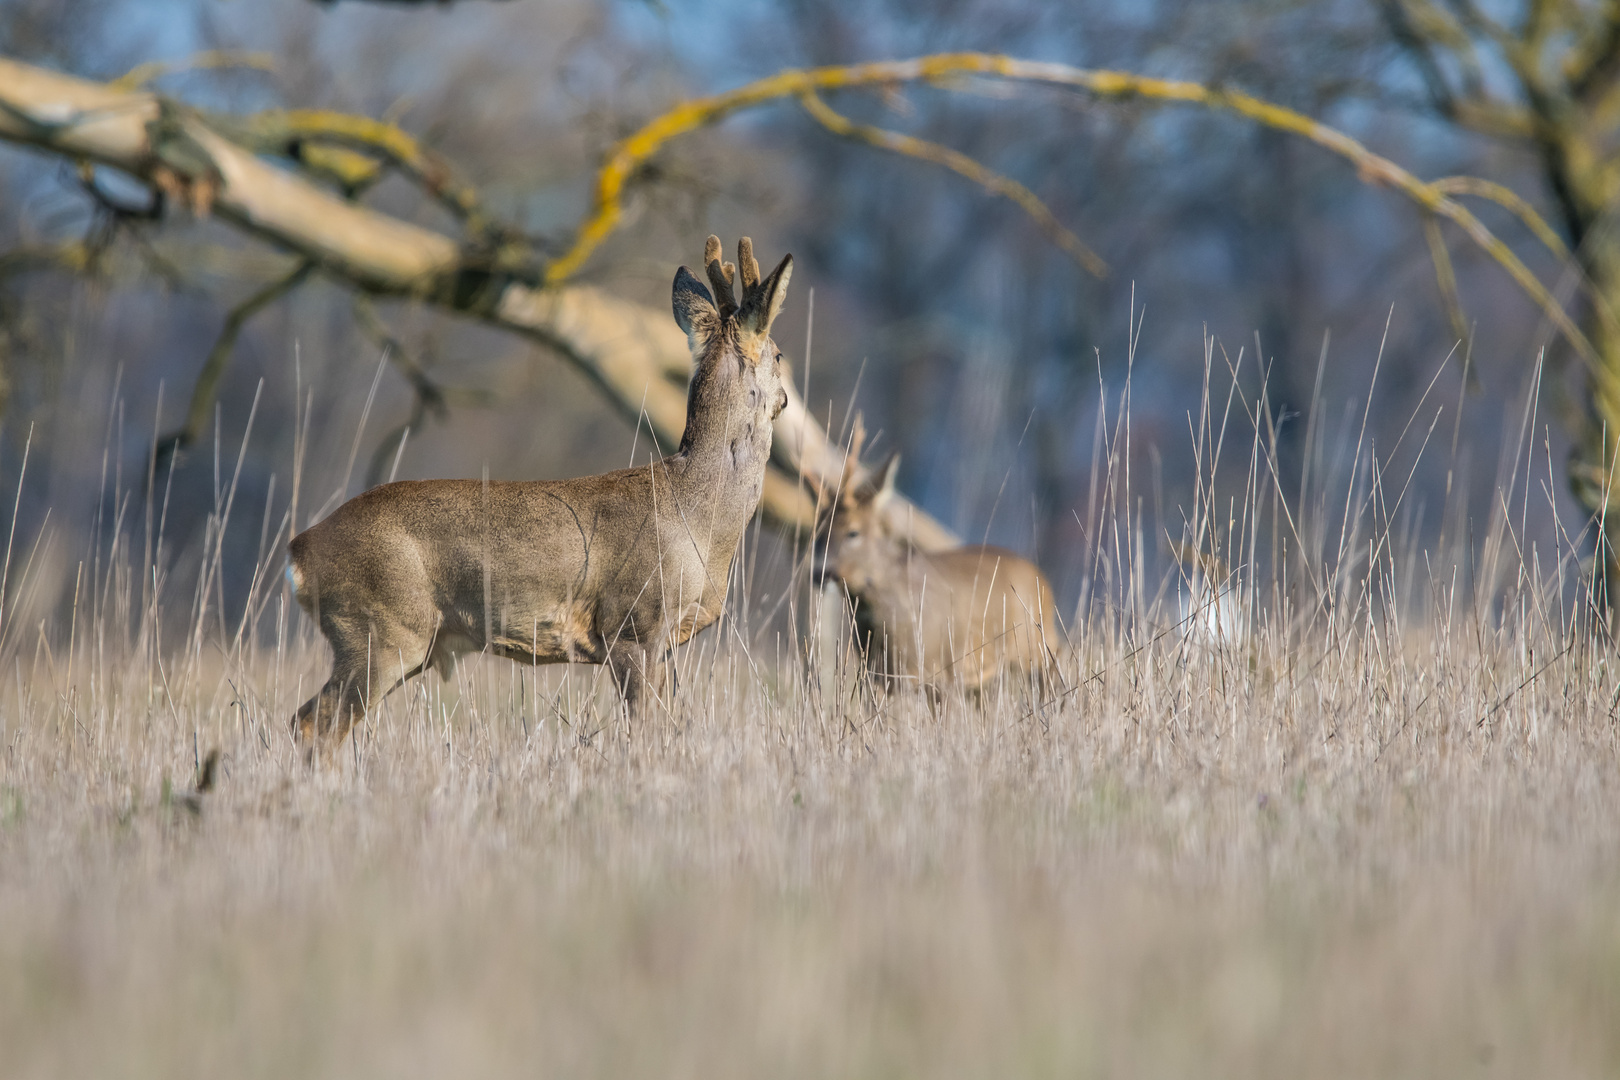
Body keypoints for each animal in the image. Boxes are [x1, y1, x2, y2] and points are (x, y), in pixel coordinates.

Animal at [291, 236, 797, 757]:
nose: (787, 398)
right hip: (380, 629)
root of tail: (301, 549)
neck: (698, 516)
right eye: (779, 355)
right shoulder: (633, 624)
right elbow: (643, 729)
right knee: (314, 723)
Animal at [810, 420, 1062, 702]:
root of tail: (1042, 577)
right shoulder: (879, 677)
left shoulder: (943, 672)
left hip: (1037, 645)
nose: (820, 572)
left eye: (852, 532)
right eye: (817, 533)